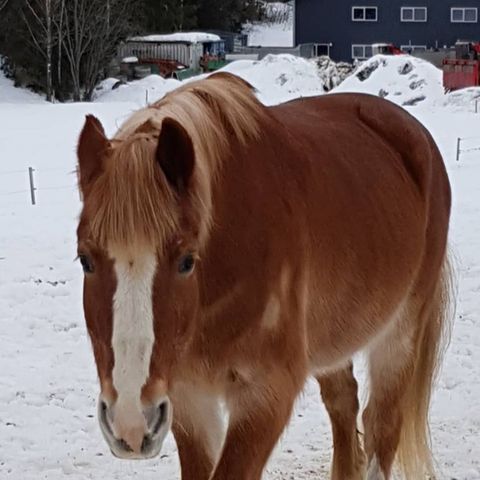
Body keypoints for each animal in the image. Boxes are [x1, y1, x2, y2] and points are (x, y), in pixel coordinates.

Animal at [77, 72, 452, 480]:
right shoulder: (188, 399)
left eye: (187, 261)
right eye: (85, 260)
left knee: (381, 424)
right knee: (344, 403)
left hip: (400, 335)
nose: (130, 421)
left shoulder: (266, 395)